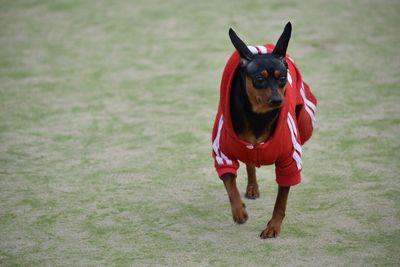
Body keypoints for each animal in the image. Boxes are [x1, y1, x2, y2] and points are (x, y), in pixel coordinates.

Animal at [211, 22, 318, 239]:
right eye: (259, 79)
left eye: (283, 78)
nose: (278, 100)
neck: (259, 117)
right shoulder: (223, 154)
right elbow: (230, 184)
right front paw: (239, 211)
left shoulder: (288, 164)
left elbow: (281, 202)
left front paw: (273, 227)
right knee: (250, 163)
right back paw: (252, 188)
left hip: (305, 121)